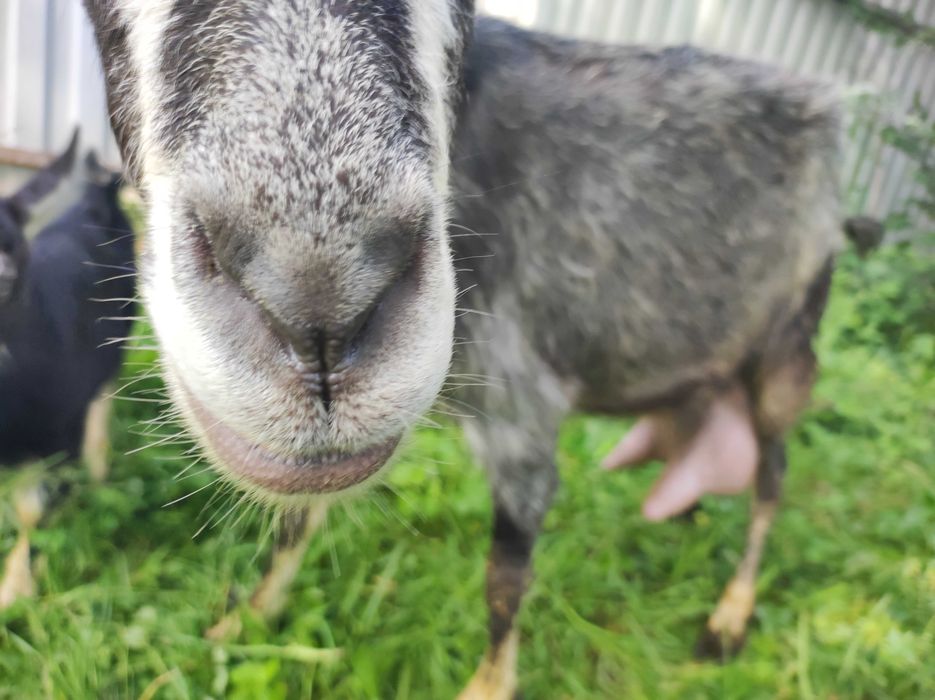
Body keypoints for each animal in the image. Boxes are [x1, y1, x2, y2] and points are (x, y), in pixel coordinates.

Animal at [83, 4, 842, 696]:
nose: (316, 300)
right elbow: (295, 517)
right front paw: (243, 622)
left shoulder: (520, 406)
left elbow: (504, 577)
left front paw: (485, 686)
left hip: (787, 345)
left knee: (773, 471)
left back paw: (728, 617)